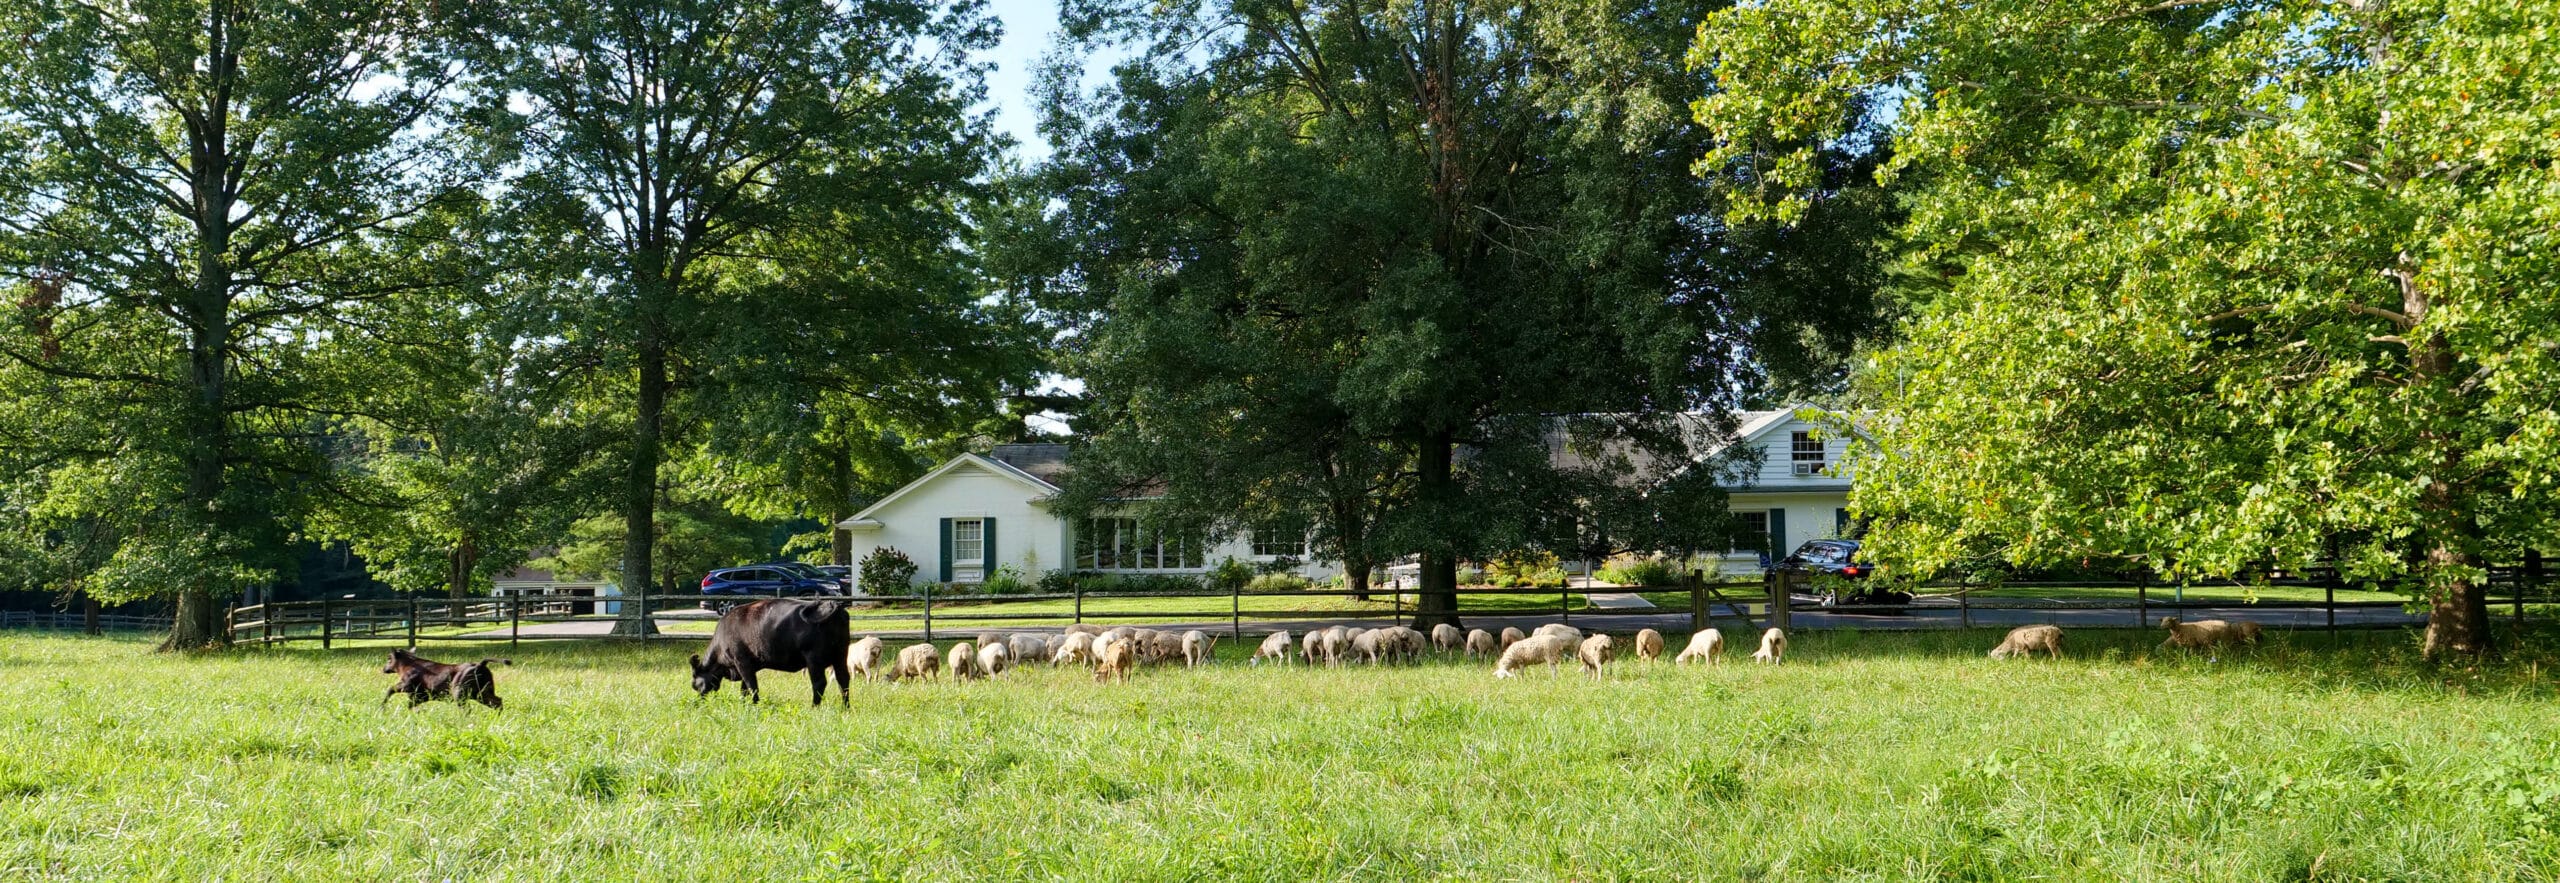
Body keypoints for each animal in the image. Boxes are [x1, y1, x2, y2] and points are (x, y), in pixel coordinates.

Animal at [691, 593, 849, 706]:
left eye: (695, 684)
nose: (700, 701)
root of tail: (830, 604)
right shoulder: (748, 666)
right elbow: (744, 688)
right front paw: (744, 704)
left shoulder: (742, 662)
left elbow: (752, 686)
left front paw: (755, 704)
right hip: (841, 655)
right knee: (843, 680)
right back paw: (845, 708)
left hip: (814, 659)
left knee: (819, 683)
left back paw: (814, 707)